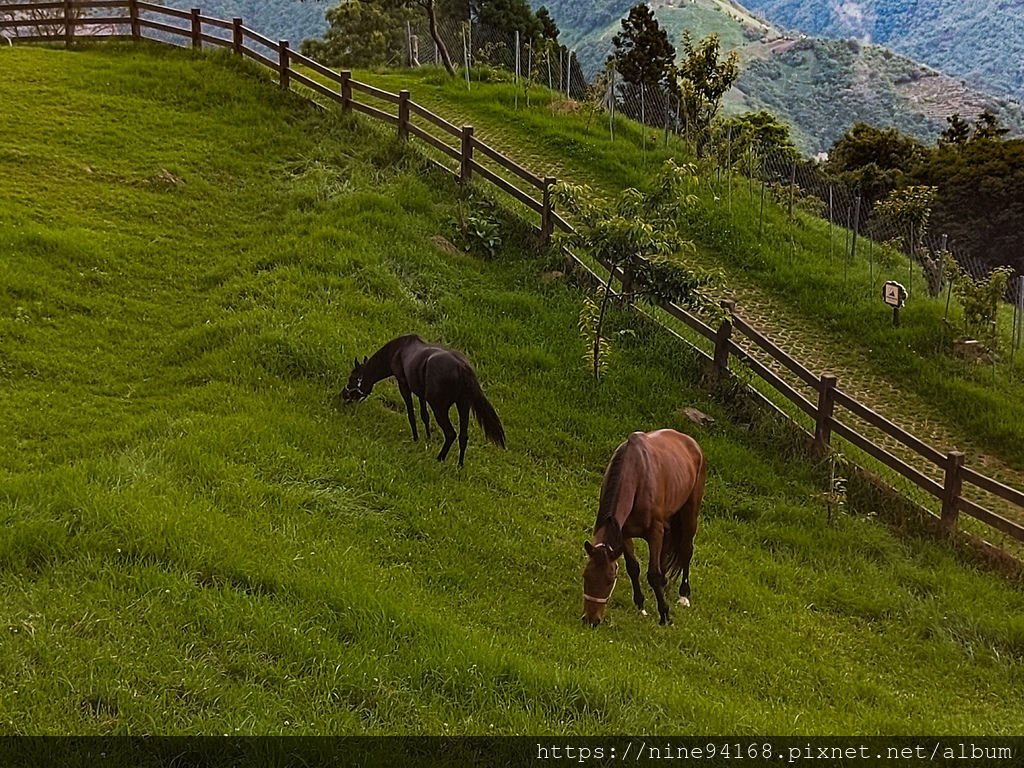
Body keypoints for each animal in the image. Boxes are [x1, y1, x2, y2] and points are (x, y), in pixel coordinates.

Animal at [342, 333, 505, 466]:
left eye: (352, 378)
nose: (343, 395)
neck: (398, 350)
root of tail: (462, 366)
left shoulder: (404, 385)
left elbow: (411, 414)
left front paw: (416, 438)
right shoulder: (421, 394)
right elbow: (424, 415)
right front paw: (428, 438)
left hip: (440, 408)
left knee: (451, 434)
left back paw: (439, 458)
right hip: (463, 406)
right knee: (463, 436)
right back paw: (459, 465)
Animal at [585, 430, 704, 626]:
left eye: (610, 580)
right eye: (585, 576)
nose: (591, 620)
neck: (636, 476)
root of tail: (691, 442)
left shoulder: (655, 532)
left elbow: (653, 574)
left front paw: (664, 615)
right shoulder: (623, 533)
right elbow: (633, 567)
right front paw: (641, 606)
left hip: (690, 512)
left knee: (687, 549)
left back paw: (684, 595)